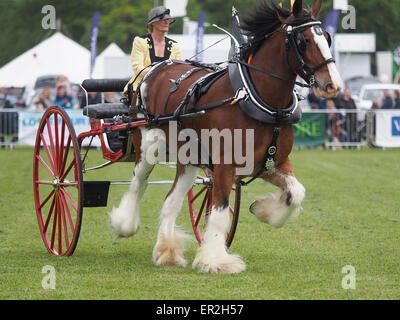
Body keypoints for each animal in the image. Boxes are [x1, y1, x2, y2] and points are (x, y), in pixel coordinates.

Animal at [108, 0, 344, 274]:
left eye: (327, 37)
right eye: (303, 40)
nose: (333, 86)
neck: (254, 98)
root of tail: (156, 68)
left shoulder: (272, 162)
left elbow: (296, 193)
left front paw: (263, 210)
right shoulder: (224, 166)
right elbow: (219, 212)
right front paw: (215, 260)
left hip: (189, 159)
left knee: (171, 200)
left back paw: (167, 251)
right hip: (148, 146)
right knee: (138, 183)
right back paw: (125, 224)